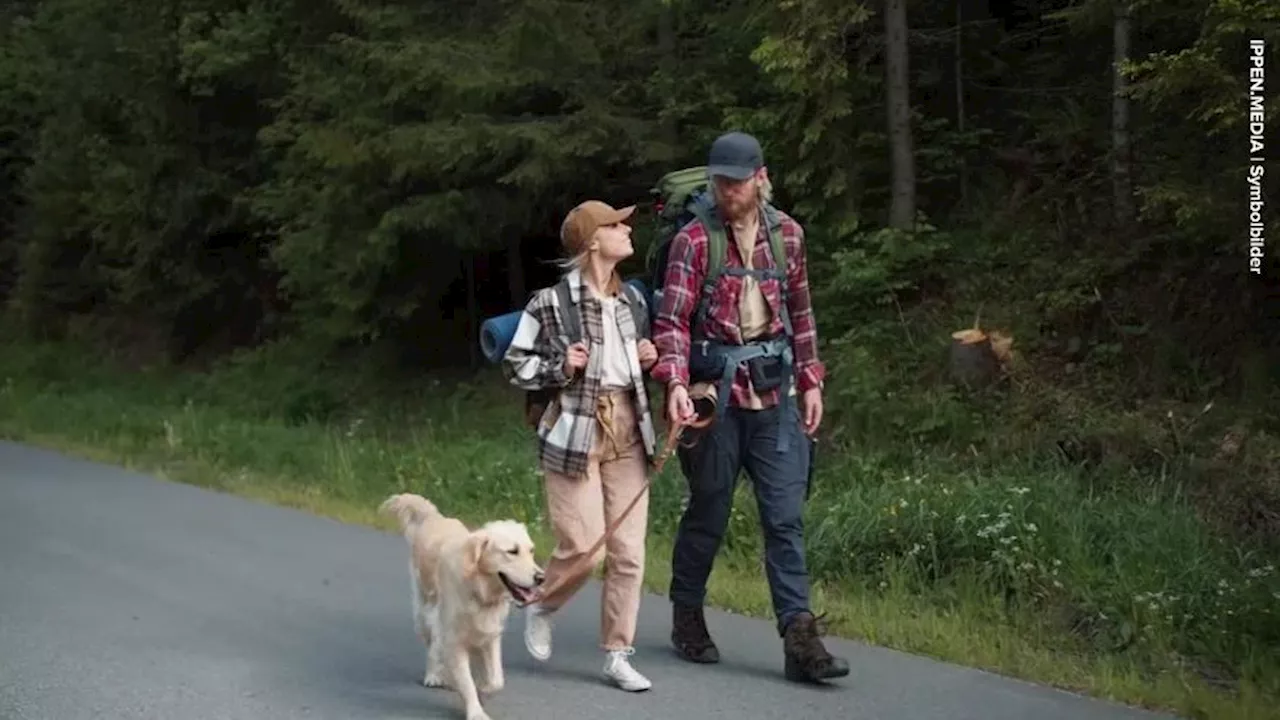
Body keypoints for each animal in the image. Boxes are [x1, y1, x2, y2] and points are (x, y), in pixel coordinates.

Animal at [376, 489, 542, 717]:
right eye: (512, 551)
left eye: (531, 550)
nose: (541, 577)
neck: (478, 588)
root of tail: (435, 517)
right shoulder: (454, 639)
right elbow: (466, 681)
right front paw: (476, 711)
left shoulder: (490, 635)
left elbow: (496, 680)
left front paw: (484, 689)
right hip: (424, 612)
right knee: (432, 644)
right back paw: (433, 675)